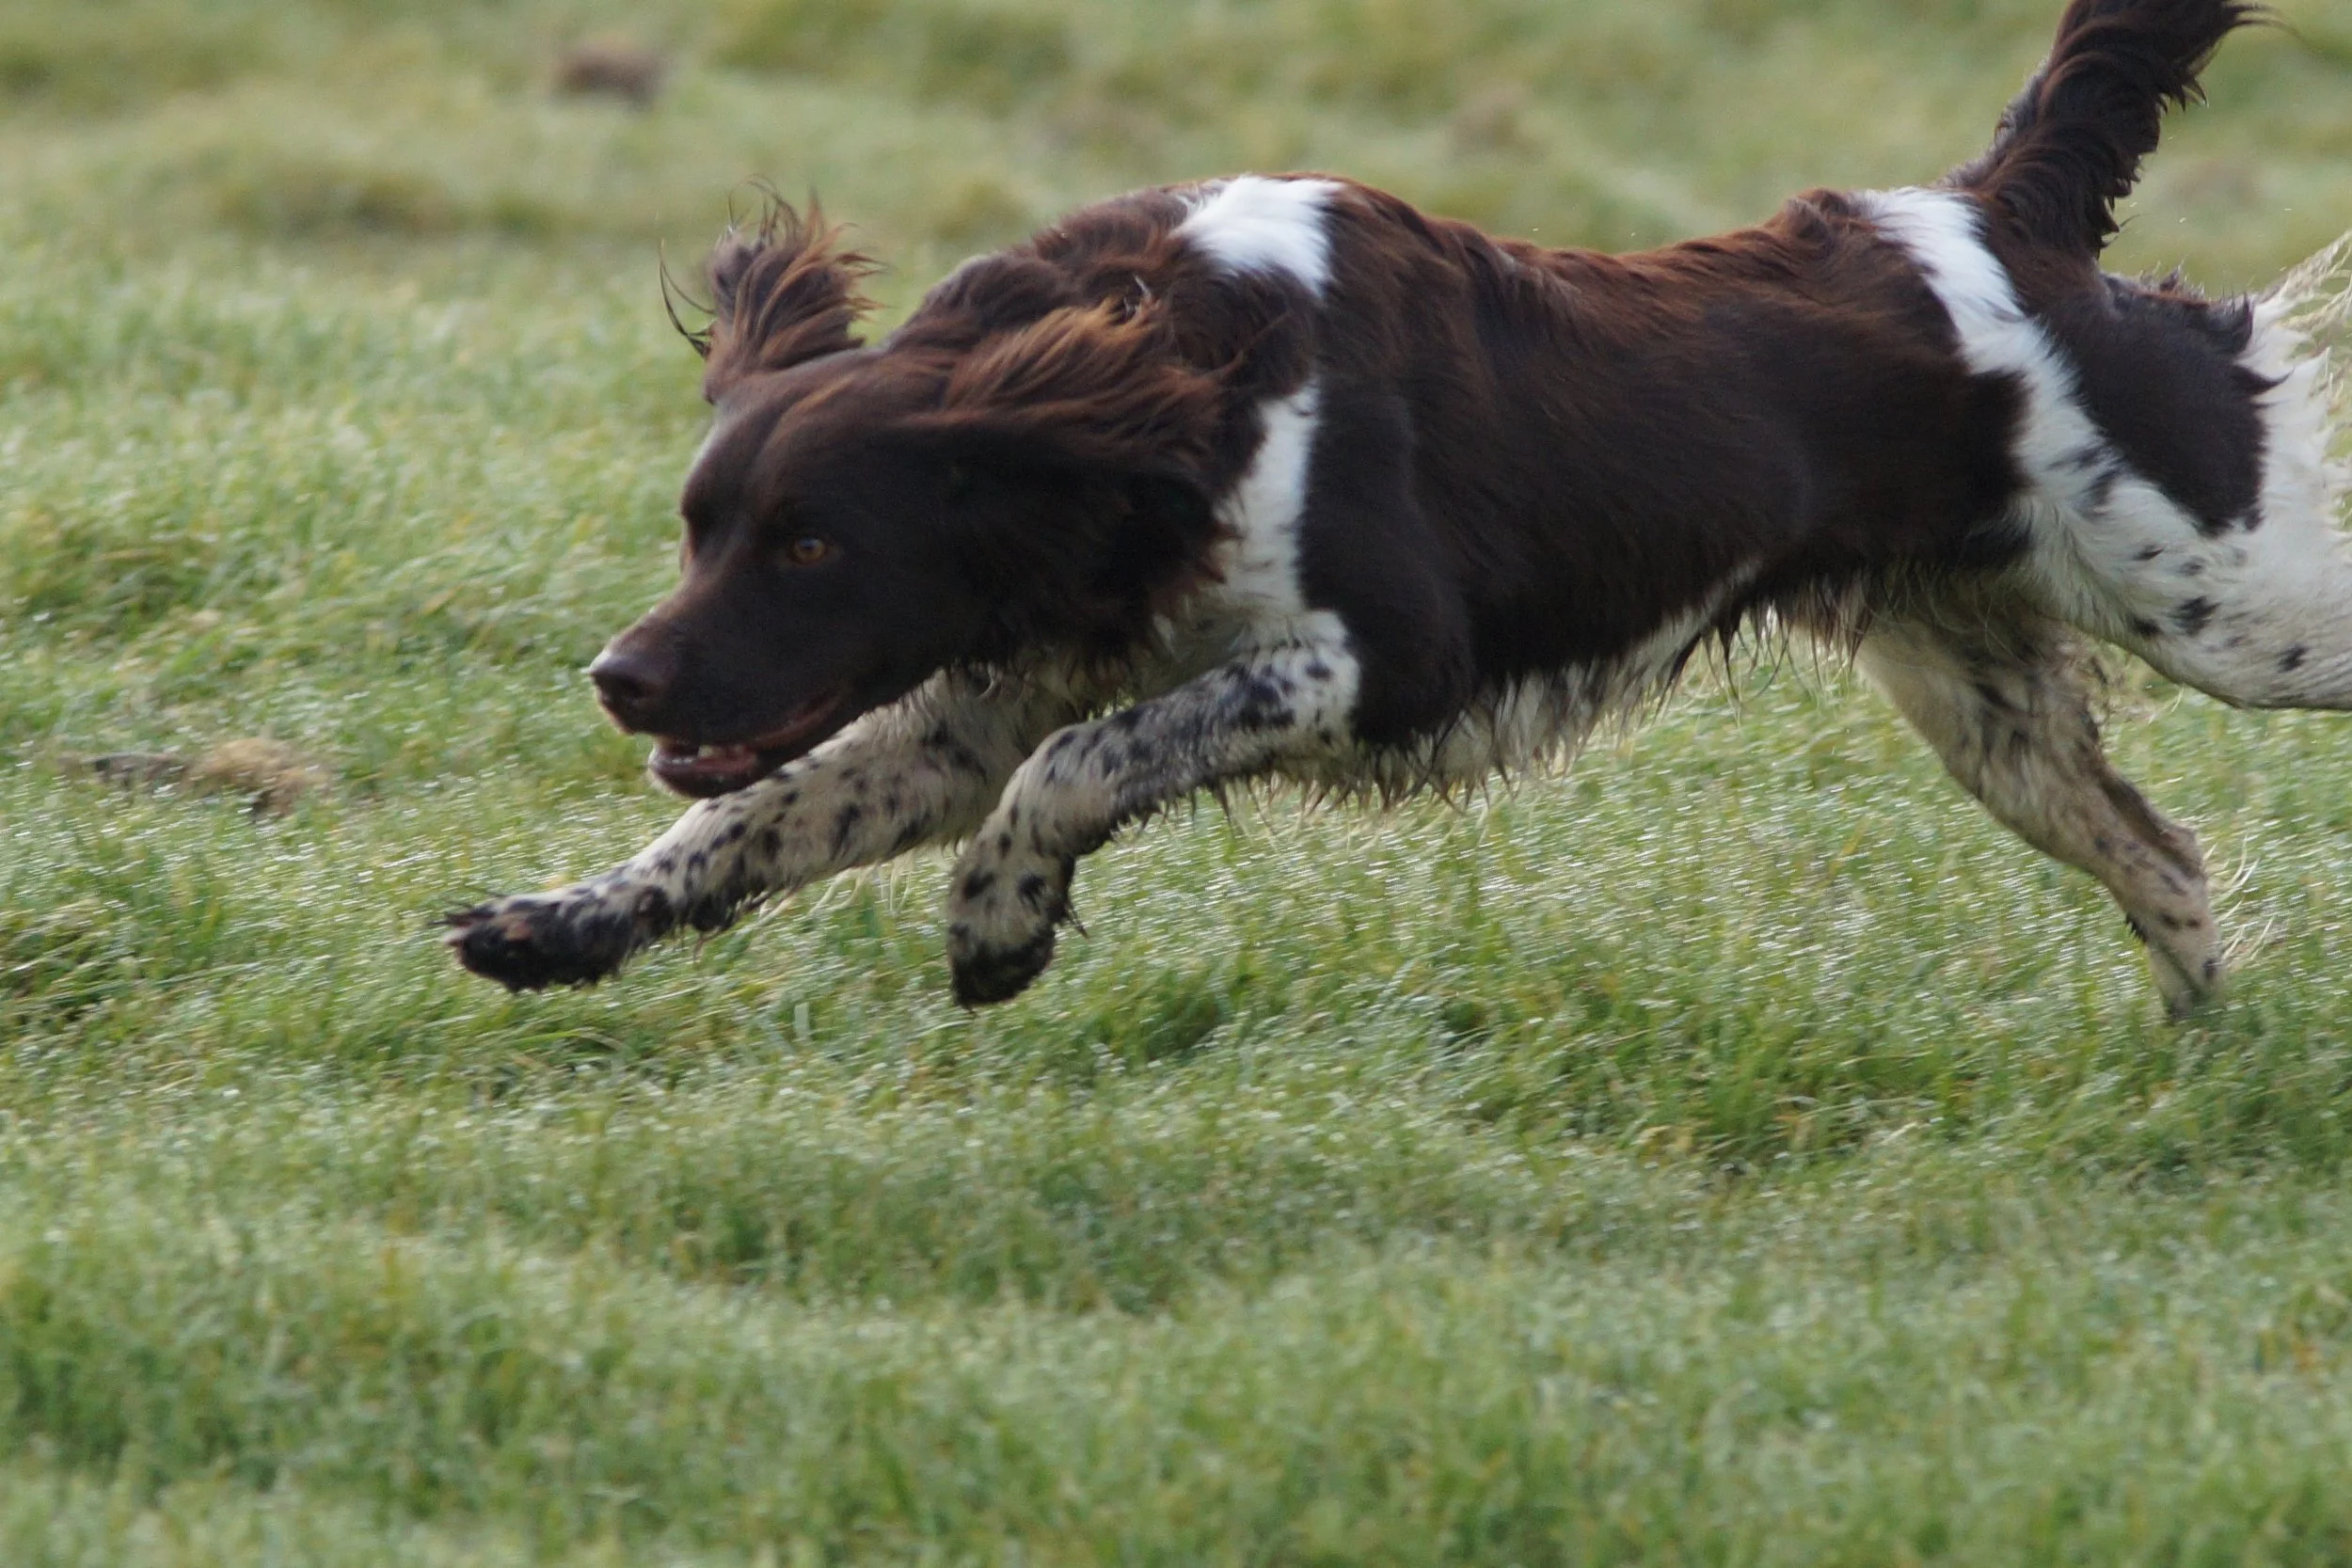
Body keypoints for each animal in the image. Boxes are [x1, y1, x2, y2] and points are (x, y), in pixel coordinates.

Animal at [449, 0, 2352, 1016]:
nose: (622, 676)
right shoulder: (985, 697)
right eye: (698, 526)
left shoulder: (1381, 655)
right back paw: (2192, 1062)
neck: (1174, 394)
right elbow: (745, 825)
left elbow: (1082, 766)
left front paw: (998, 930)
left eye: (813, 541)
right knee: (2165, 862)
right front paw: (551, 927)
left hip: (2231, 603)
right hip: (1984, 695)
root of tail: (1994, 216)